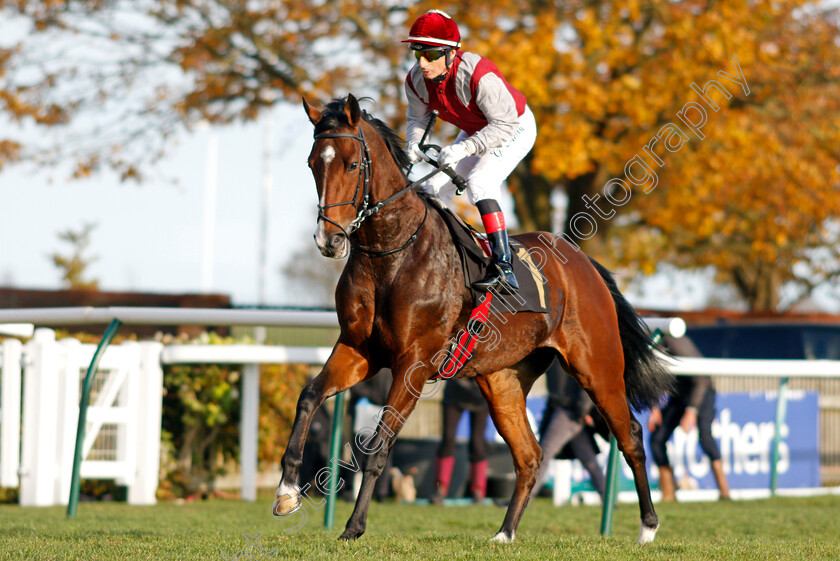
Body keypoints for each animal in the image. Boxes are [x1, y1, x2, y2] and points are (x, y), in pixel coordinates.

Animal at [276, 93, 676, 544]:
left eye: (350, 164)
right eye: (313, 163)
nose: (329, 240)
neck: (391, 253)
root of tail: (584, 262)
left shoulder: (414, 363)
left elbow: (380, 446)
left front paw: (353, 527)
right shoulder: (359, 350)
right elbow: (309, 396)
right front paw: (287, 492)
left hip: (598, 368)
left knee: (632, 437)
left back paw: (647, 527)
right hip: (502, 380)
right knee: (529, 455)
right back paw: (505, 533)